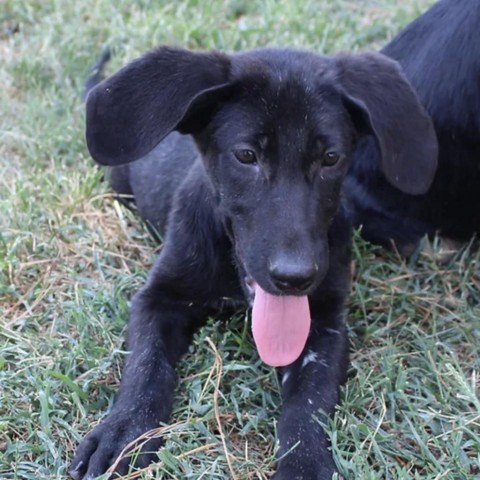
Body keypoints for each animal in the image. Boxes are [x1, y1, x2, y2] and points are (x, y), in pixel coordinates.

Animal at [70, 46, 436, 480]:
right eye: (246, 156)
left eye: (331, 158)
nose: (295, 277)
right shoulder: (156, 299)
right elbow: (146, 366)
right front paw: (123, 431)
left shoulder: (327, 321)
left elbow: (309, 403)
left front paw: (304, 463)